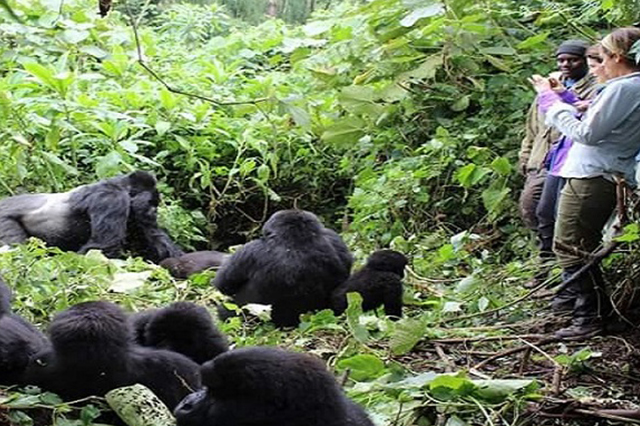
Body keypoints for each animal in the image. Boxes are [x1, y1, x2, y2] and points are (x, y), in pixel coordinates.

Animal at [0, 170, 182, 262]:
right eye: (152, 204)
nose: (155, 213)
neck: (121, 186)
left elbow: (157, 241)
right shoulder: (112, 199)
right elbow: (101, 247)